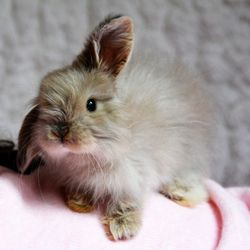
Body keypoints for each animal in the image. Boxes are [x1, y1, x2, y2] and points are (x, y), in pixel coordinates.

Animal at [17, 14, 215, 240]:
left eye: (91, 105)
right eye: (43, 107)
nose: (60, 133)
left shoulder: (134, 177)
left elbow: (126, 201)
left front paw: (123, 228)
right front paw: (78, 202)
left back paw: (181, 194)